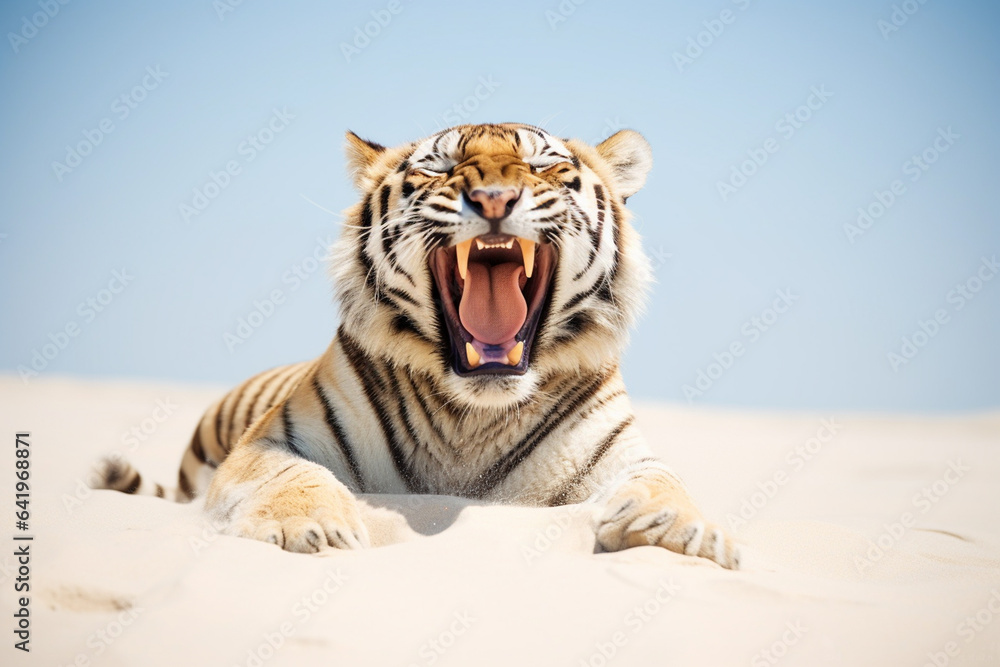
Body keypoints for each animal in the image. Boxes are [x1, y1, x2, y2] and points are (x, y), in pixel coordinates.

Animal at [98, 122, 740, 569]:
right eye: (442, 167)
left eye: (541, 166)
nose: (496, 197)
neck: (473, 418)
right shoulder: (274, 441)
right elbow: (289, 477)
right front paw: (302, 529)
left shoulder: (623, 455)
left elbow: (665, 482)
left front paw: (678, 532)